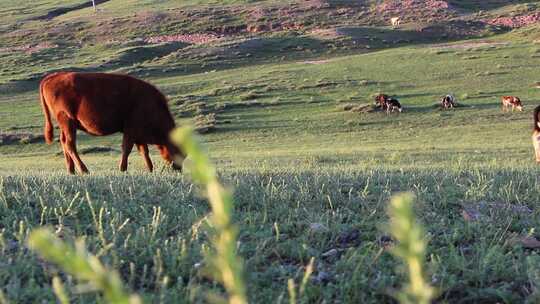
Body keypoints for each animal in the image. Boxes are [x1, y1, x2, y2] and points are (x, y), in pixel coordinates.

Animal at [39, 71, 185, 175]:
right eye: (180, 152)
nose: (178, 169)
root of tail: (54, 76)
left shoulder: (137, 134)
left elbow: (144, 151)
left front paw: (150, 169)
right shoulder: (131, 129)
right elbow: (127, 148)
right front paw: (123, 169)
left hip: (66, 125)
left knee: (64, 142)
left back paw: (71, 171)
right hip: (68, 121)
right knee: (70, 144)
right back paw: (84, 170)